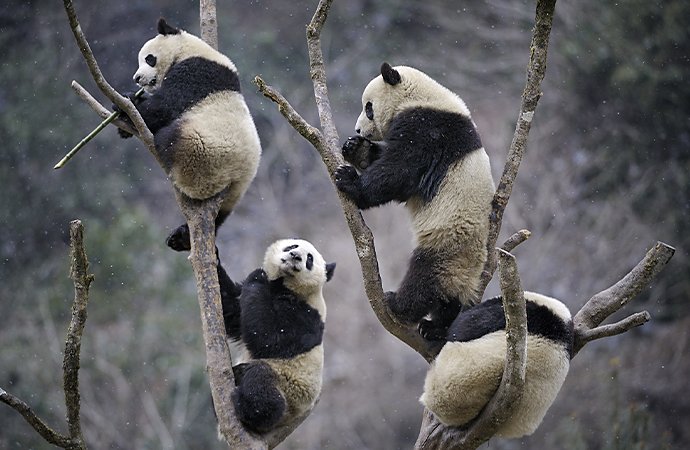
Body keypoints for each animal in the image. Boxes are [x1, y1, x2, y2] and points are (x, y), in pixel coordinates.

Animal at [115, 19, 260, 251]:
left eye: (149, 58)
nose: (137, 78)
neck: (188, 49)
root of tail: (235, 176)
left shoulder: (195, 73)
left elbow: (166, 106)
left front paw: (126, 106)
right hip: (234, 193)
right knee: (220, 217)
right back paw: (181, 237)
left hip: (203, 153)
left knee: (171, 137)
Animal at [215, 237, 334, 434]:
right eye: (292, 246)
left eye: (309, 259)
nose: (295, 256)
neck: (284, 284)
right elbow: (232, 310)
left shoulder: (307, 316)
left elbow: (270, 339)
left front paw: (258, 275)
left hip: (289, 389)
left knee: (261, 380)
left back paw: (247, 408)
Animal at [334, 61, 492, 340]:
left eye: (368, 108)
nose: (357, 130)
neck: (421, 97)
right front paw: (356, 148)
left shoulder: (428, 130)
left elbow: (400, 171)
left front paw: (350, 181)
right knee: (448, 301)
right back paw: (437, 328)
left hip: (447, 240)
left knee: (424, 278)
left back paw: (397, 304)